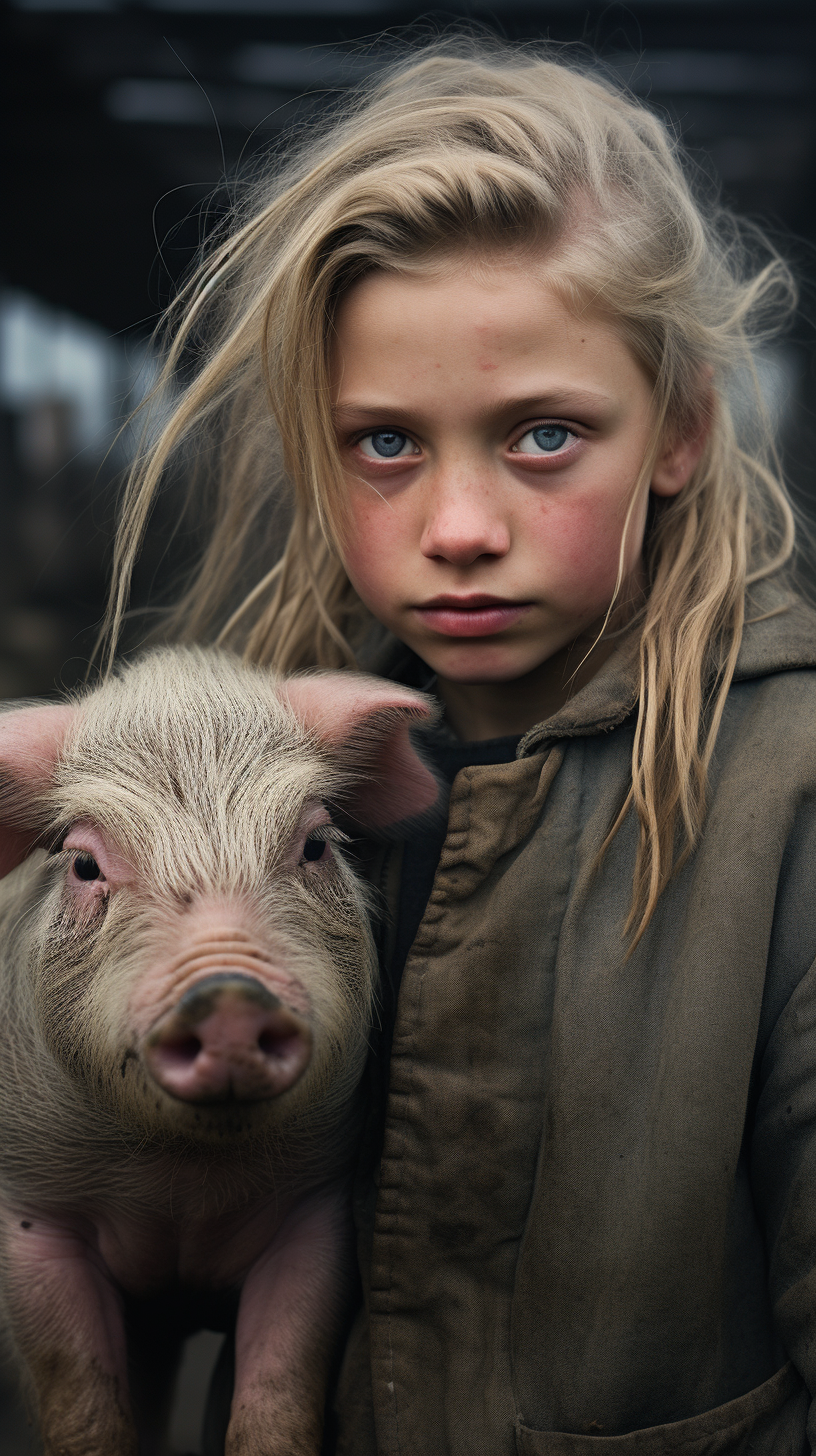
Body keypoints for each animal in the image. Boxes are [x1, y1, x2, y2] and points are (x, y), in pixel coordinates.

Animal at [0, 649, 440, 1456]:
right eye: (83, 866)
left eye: (316, 845)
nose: (228, 995)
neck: (183, 1185)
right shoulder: (31, 1213)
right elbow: (81, 1404)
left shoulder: (317, 1208)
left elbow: (277, 1399)